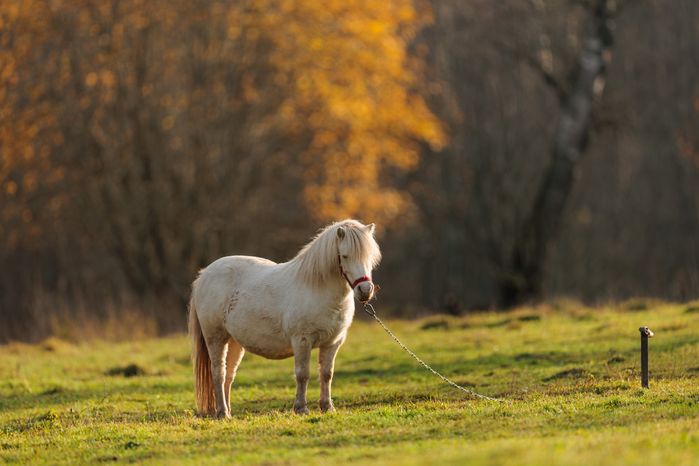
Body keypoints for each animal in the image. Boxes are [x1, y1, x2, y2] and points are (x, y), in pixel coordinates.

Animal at [188, 219, 381, 418]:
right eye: (345, 256)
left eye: (370, 257)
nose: (365, 290)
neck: (317, 288)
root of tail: (204, 275)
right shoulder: (302, 340)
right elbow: (303, 374)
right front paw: (301, 408)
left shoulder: (333, 343)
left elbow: (327, 374)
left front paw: (327, 407)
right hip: (215, 338)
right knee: (218, 372)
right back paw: (222, 413)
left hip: (234, 341)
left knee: (229, 374)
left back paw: (227, 411)